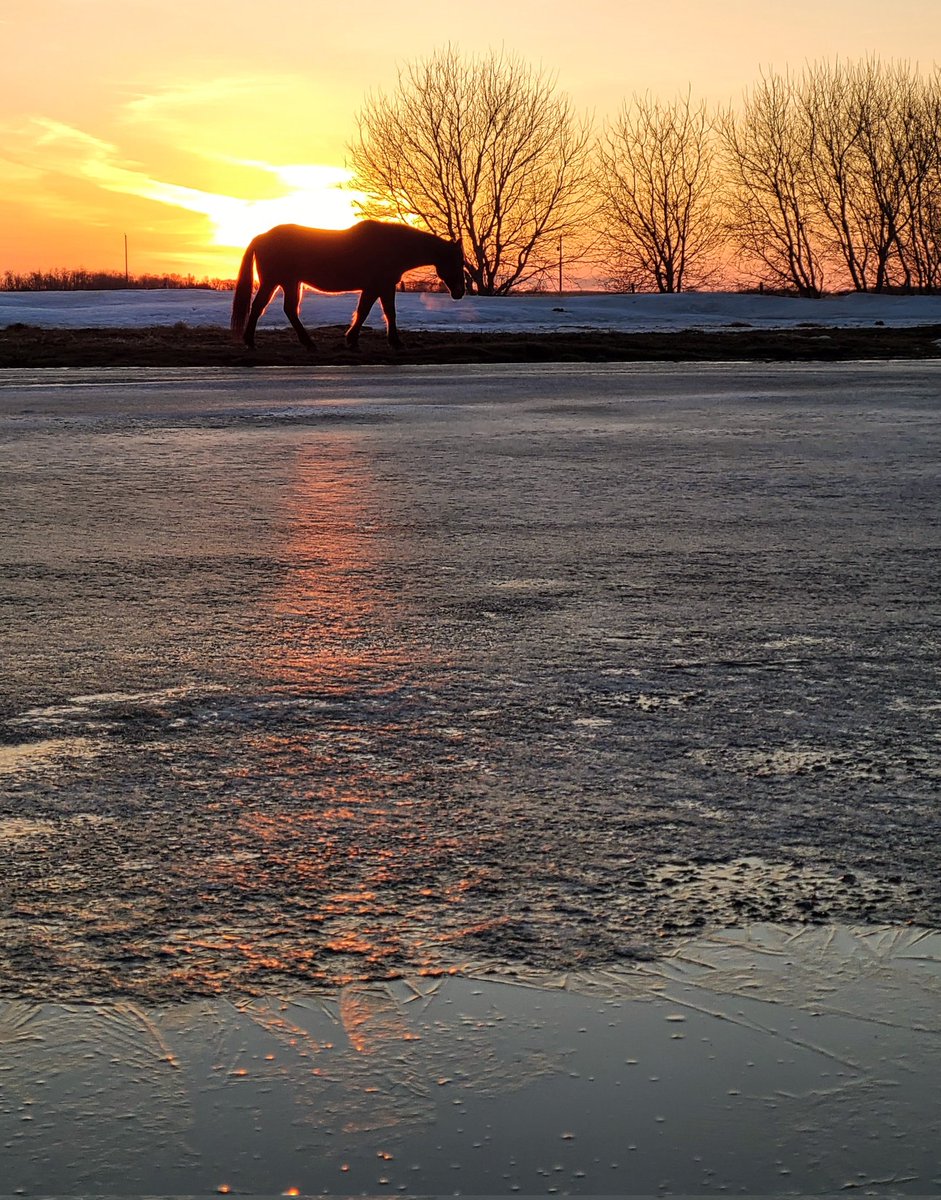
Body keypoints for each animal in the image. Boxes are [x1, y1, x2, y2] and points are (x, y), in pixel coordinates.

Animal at [230, 220, 466, 351]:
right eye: (458, 261)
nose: (460, 292)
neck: (391, 247)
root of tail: (262, 237)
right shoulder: (380, 286)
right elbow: (380, 312)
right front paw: (391, 342)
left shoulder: (377, 287)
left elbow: (368, 311)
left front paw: (353, 340)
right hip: (277, 281)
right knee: (264, 307)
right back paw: (256, 341)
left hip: (289, 282)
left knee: (282, 309)